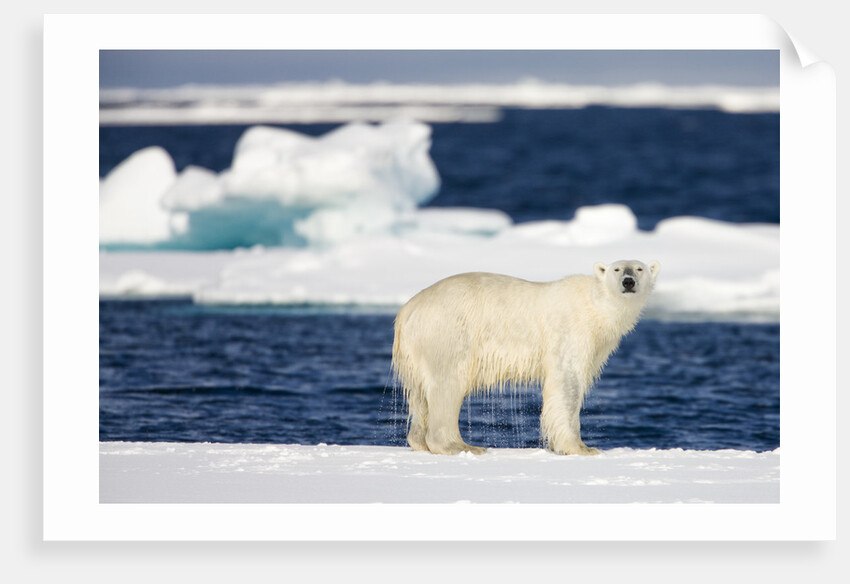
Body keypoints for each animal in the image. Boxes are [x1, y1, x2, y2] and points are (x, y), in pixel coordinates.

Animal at [391, 259, 660, 455]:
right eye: (617, 269)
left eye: (639, 268)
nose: (628, 282)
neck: (595, 306)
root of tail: (407, 310)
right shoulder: (569, 333)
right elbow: (567, 384)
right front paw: (583, 448)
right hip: (448, 332)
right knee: (447, 384)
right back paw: (461, 446)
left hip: (417, 348)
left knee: (419, 394)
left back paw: (420, 441)